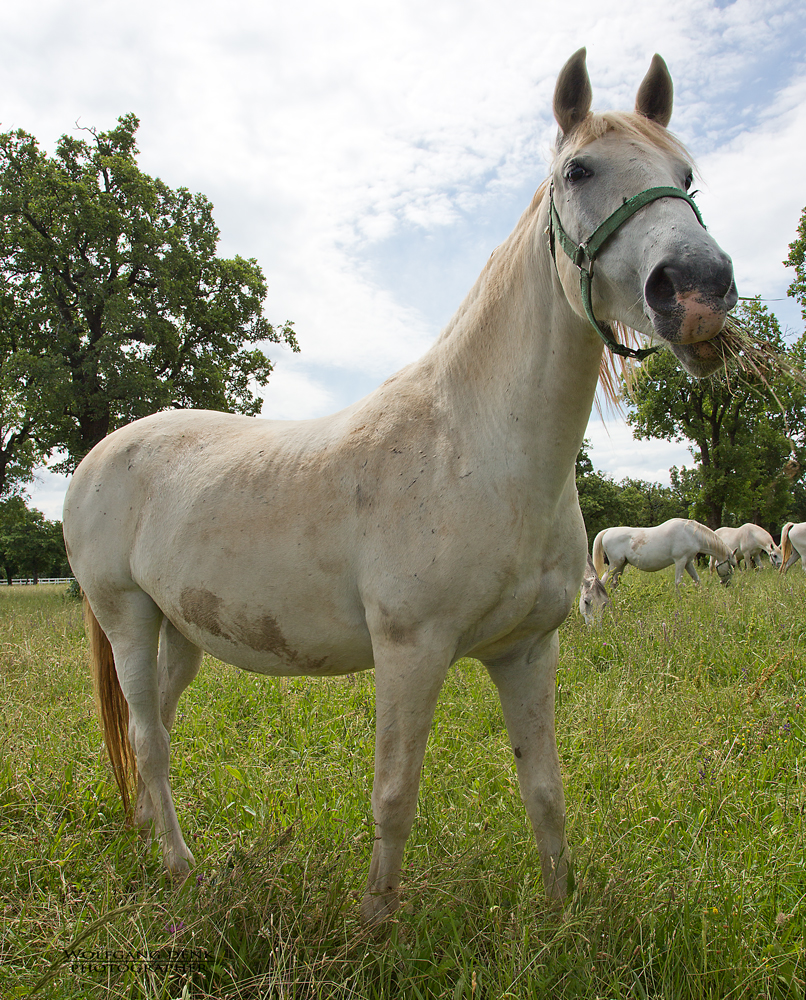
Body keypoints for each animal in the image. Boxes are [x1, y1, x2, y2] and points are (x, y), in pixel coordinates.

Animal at [592, 520, 740, 588]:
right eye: (732, 565)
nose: (726, 583)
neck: (691, 534)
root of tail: (608, 531)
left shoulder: (688, 562)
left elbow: (697, 580)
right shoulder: (680, 561)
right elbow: (678, 582)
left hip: (621, 565)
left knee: (614, 583)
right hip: (615, 564)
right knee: (604, 581)